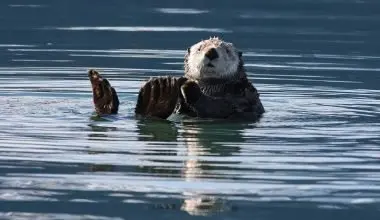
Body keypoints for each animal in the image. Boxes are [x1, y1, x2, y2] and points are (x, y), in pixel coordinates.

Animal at [87, 37, 264, 121]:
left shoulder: (244, 94)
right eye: (200, 48)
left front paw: (190, 86)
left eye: (227, 50)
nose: (211, 52)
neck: (210, 87)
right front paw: (187, 84)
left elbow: (225, 107)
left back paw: (158, 93)